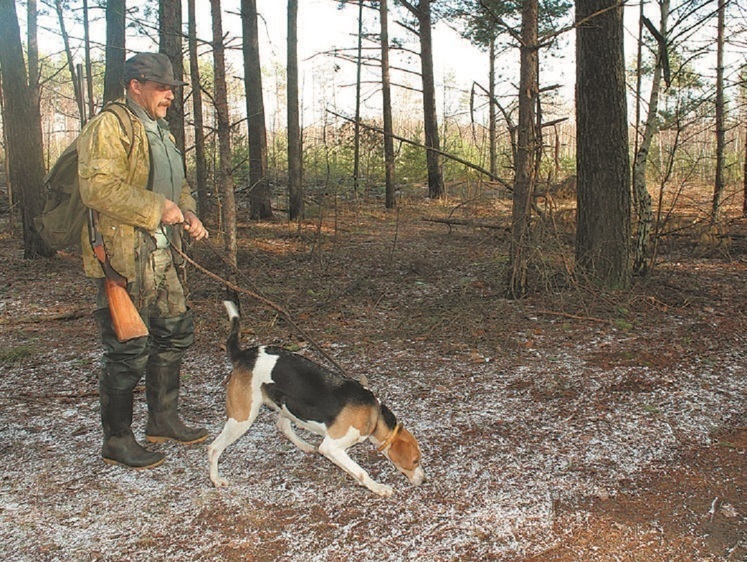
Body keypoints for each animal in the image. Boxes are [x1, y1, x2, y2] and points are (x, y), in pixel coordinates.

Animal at [207, 300, 426, 496]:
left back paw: (304, 446)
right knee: (213, 448)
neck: (375, 413)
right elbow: (361, 472)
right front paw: (379, 488)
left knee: (283, 426)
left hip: (286, 405)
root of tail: (242, 355)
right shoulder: (331, 447)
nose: (424, 480)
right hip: (242, 418)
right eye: (415, 460)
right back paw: (216, 479)